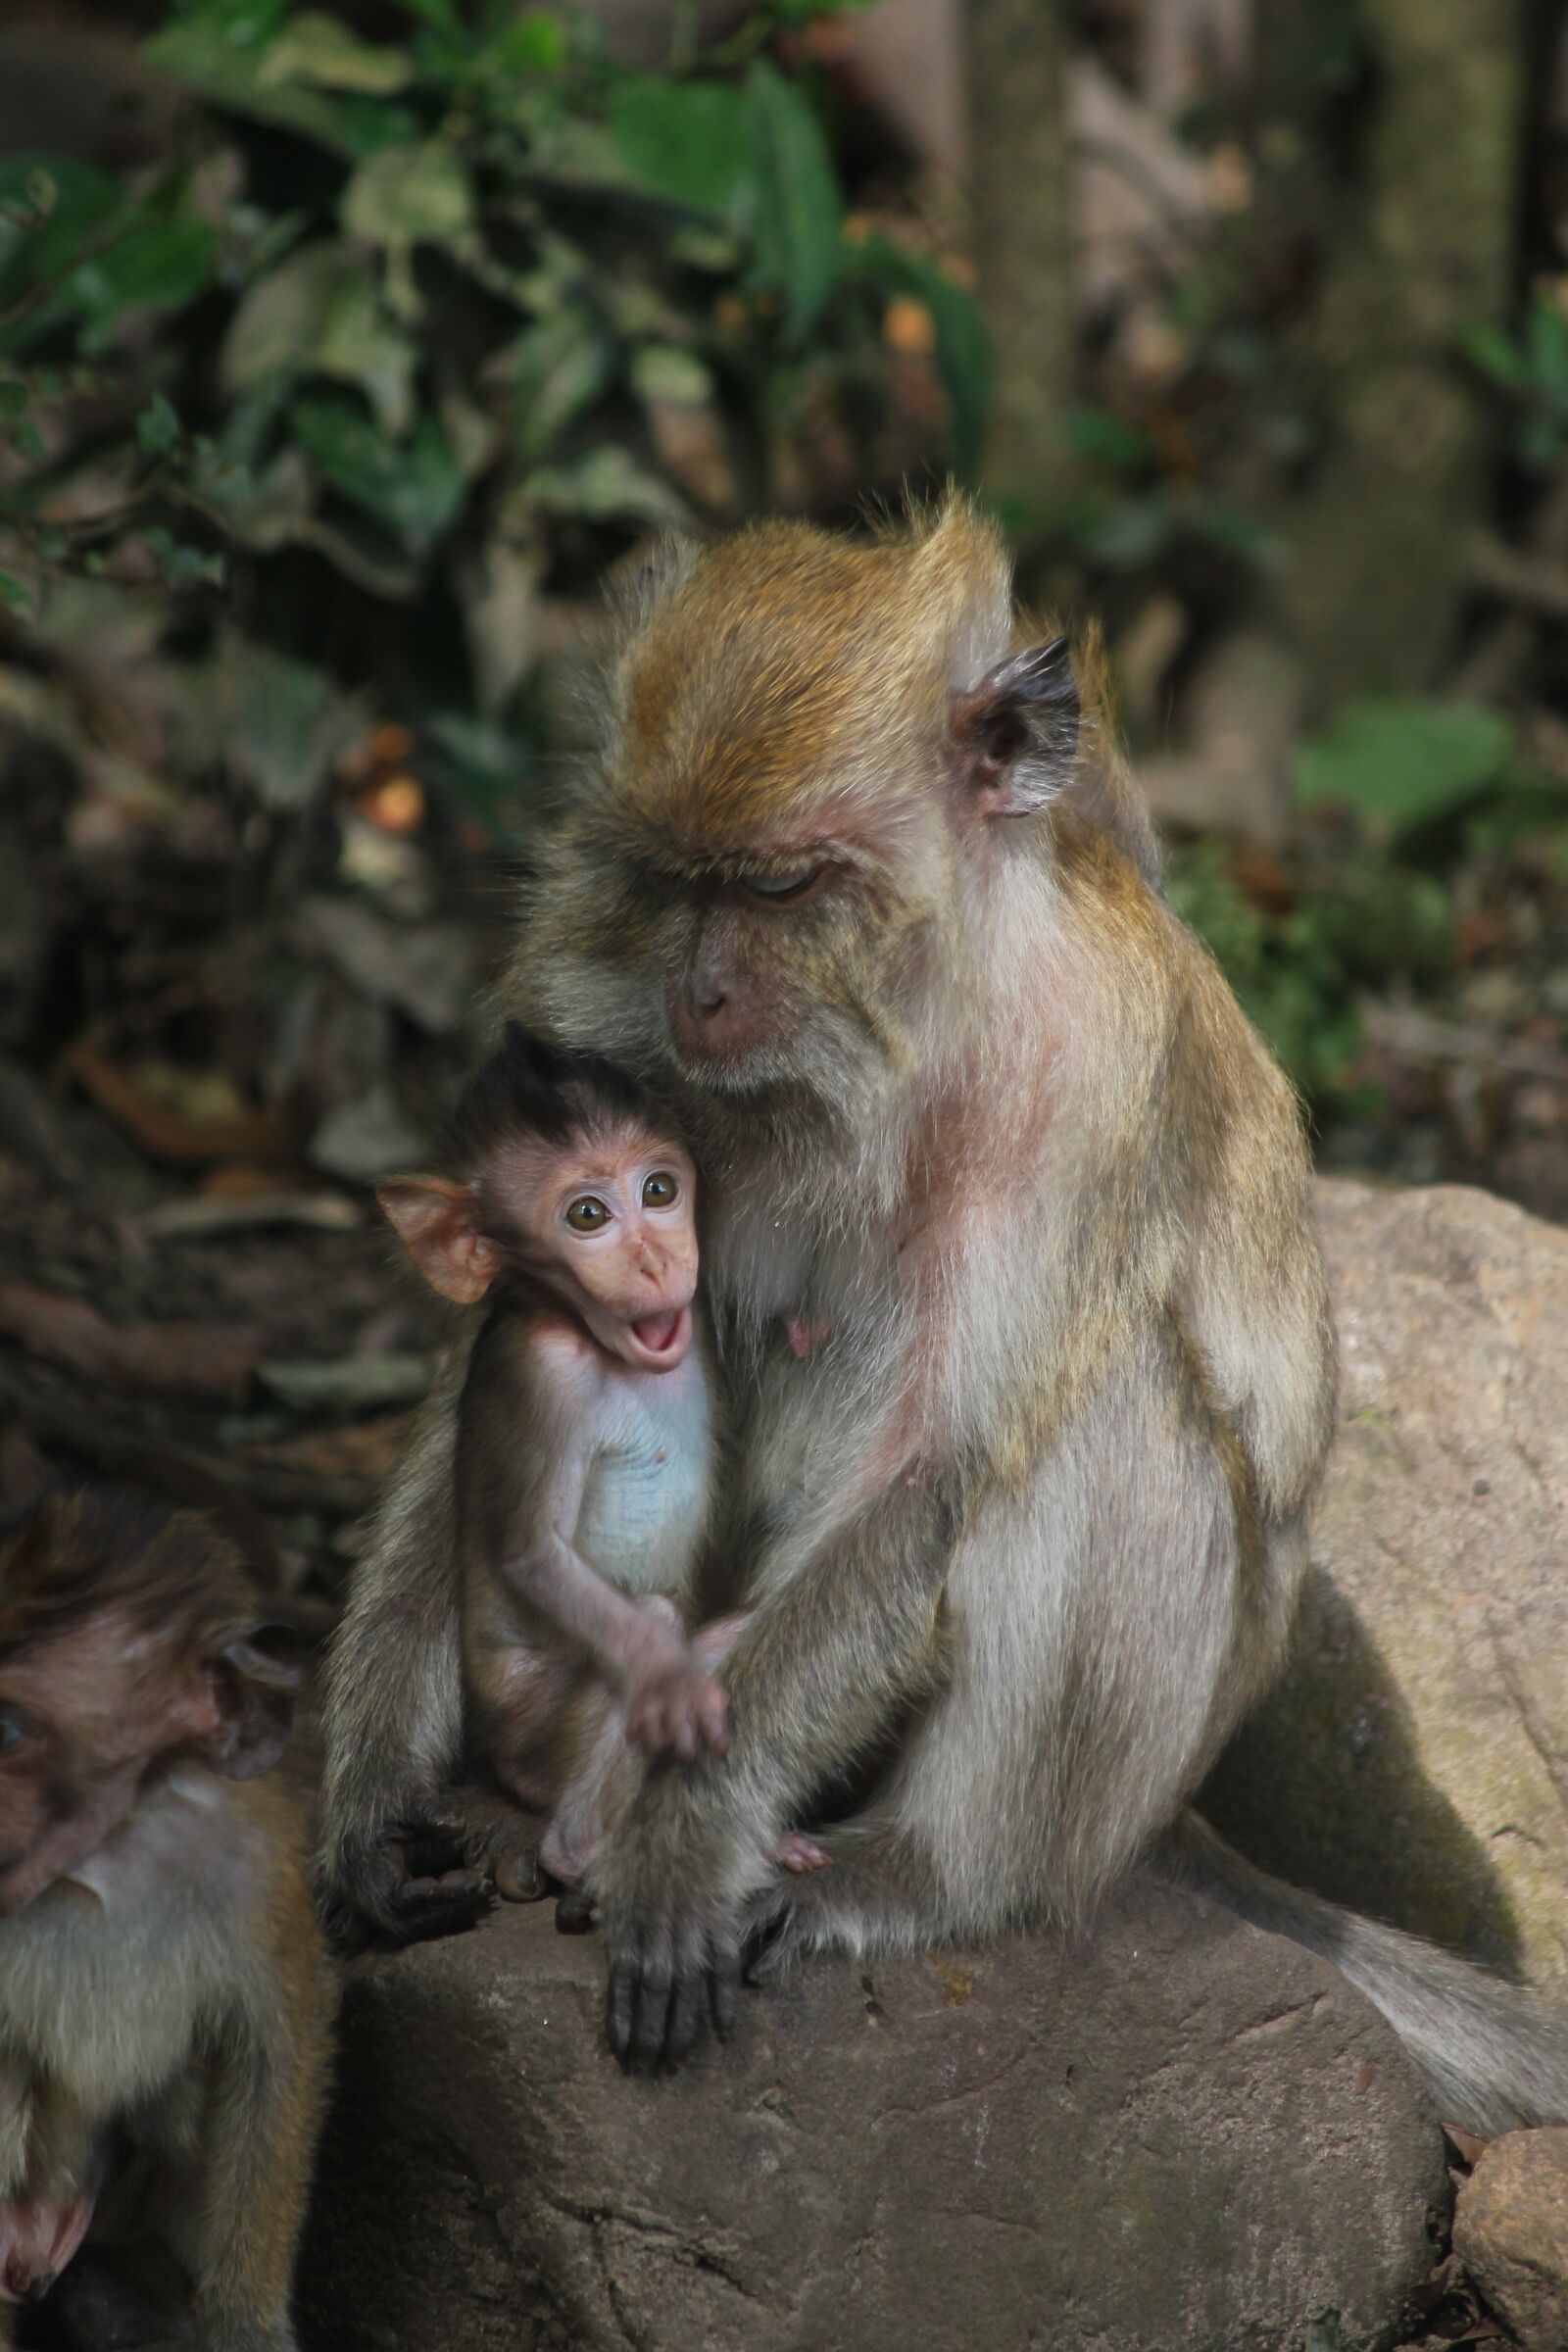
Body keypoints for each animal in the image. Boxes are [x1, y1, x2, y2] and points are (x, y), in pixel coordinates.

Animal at [375, 1022, 829, 1903]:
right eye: (587, 1215)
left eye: (660, 1190)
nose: (657, 1262)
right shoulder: (542, 1378)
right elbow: (532, 1552)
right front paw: (666, 1676)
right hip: (538, 1731)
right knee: (647, 1624)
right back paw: (579, 1850)